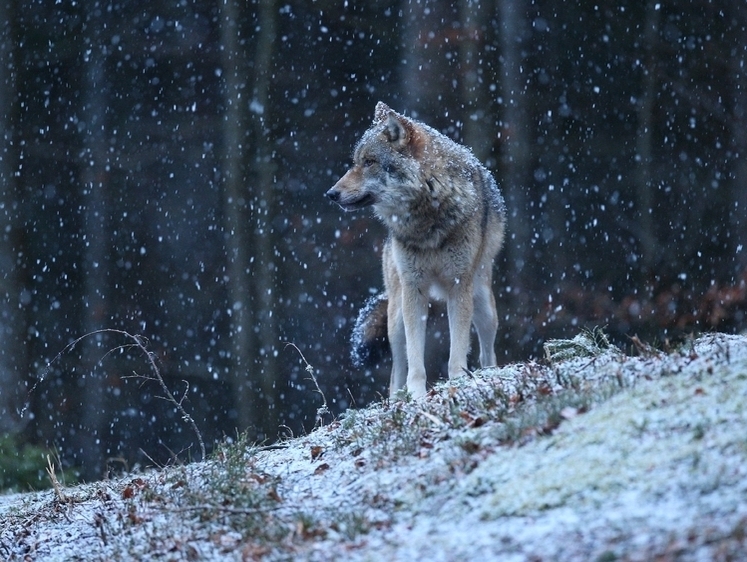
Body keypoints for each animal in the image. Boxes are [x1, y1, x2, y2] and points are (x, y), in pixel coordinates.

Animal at [328, 101, 508, 398]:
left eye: (369, 162)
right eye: (356, 161)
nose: (330, 194)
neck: (427, 218)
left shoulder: (459, 286)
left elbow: (457, 349)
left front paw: (458, 382)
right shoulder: (414, 289)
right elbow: (415, 356)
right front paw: (416, 394)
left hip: (483, 305)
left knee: (487, 352)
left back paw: (487, 374)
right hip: (396, 315)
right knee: (395, 372)